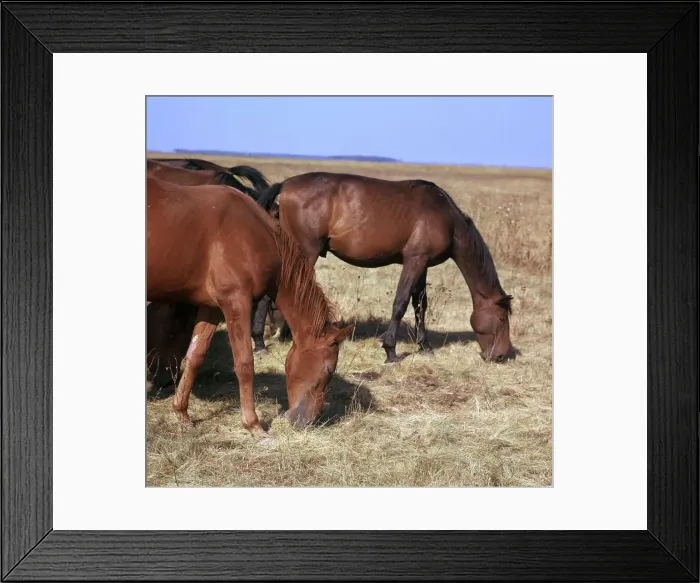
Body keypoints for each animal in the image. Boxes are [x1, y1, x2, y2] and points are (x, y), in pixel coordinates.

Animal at [147, 176, 354, 440]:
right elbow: (245, 364)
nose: (305, 422)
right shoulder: (236, 303)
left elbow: (195, 356)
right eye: (328, 371)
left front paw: (182, 414)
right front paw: (254, 426)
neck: (254, 234)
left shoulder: (212, 308)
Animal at [258, 172, 514, 364]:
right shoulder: (414, 261)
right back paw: (262, 341)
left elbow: (420, 304)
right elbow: (401, 302)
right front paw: (391, 351)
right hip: (304, 252)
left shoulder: (423, 265)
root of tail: (285, 185)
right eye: (502, 318)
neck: (447, 219)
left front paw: (424, 346)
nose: (501, 356)